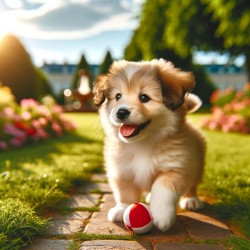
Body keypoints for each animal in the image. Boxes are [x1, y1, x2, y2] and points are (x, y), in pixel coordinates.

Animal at [93, 59, 205, 231]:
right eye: (118, 96)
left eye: (144, 97)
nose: (121, 112)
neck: (143, 144)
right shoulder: (122, 170)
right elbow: (125, 192)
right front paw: (122, 209)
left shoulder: (177, 168)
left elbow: (162, 187)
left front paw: (162, 216)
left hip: (197, 166)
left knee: (192, 185)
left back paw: (191, 200)